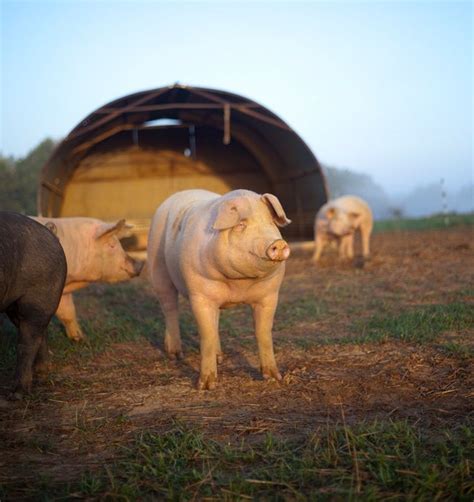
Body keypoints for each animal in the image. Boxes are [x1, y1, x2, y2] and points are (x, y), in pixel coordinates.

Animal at [0, 210, 67, 398]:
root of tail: (51, 234)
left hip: (37, 298)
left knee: (27, 340)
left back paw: (18, 393)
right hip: (14, 304)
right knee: (37, 332)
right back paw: (41, 371)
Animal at [146, 188, 290, 388]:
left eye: (271, 223)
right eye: (241, 225)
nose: (279, 243)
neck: (239, 284)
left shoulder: (269, 295)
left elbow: (263, 333)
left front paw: (275, 378)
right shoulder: (200, 296)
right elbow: (206, 335)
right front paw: (206, 386)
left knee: (215, 320)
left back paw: (219, 357)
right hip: (157, 266)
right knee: (170, 308)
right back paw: (175, 355)